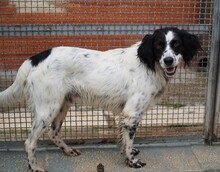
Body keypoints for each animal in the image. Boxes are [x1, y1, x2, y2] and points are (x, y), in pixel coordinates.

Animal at [0, 27, 200, 171]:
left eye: (176, 44)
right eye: (158, 46)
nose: (168, 60)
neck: (150, 64)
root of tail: (34, 58)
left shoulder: (127, 115)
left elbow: (124, 139)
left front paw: (125, 152)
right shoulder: (131, 114)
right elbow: (129, 142)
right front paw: (132, 161)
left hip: (62, 104)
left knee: (53, 132)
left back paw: (68, 150)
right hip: (48, 108)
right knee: (29, 143)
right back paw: (35, 167)